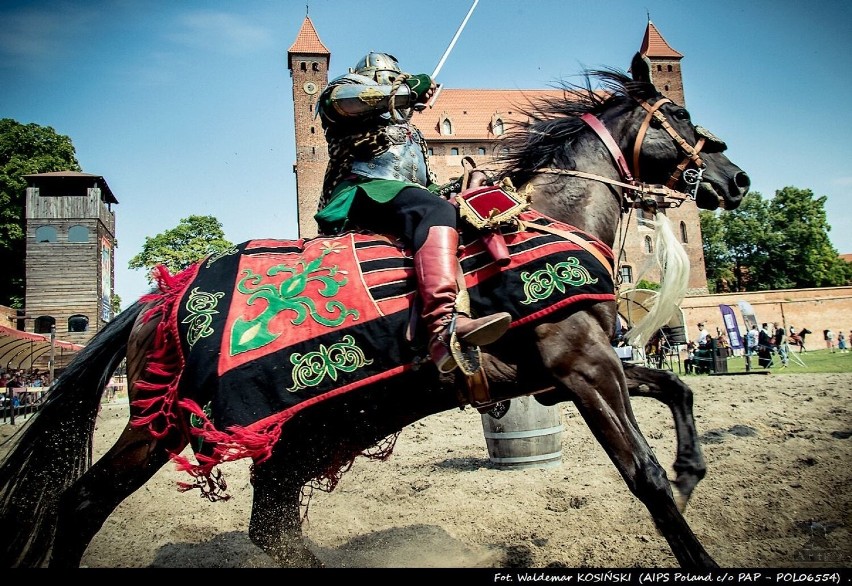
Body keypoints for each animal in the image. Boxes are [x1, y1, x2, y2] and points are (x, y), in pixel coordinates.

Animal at [0, 54, 744, 564]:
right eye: (678, 118)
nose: (736, 179)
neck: (553, 216)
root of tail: (162, 296)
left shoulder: (568, 376)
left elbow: (676, 389)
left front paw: (692, 471)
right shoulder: (583, 369)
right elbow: (644, 477)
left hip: (297, 431)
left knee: (272, 525)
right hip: (164, 425)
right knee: (82, 504)